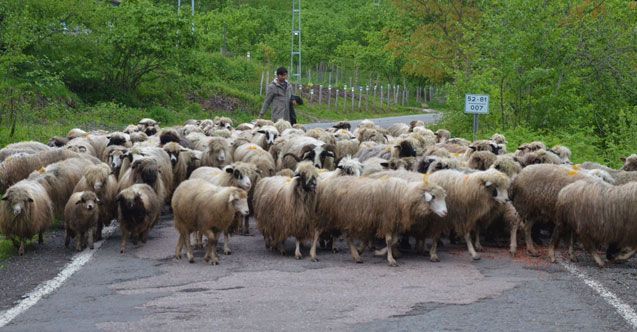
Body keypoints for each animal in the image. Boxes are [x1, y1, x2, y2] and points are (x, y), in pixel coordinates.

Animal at [314, 175, 444, 266]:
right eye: (433, 197)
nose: (445, 212)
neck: (403, 195)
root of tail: (331, 182)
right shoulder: (387, 220)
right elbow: (389, 240)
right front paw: (390, 259)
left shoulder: (394, 223)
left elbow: (394, 241)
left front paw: (381, 252)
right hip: (328, 215)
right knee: (317, 232)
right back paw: (313, 255)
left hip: (348, 219)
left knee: (349, 238)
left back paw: (356, 256)